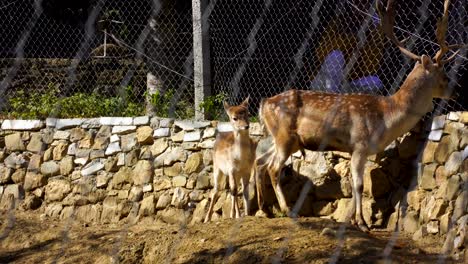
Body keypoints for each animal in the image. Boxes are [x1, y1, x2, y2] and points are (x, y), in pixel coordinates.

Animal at [256, 0, 464, 231]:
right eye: (444, 76)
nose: (457, 91)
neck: (387, 116)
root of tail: (264, 104)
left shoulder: (358, 150)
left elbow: (358, 186)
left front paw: (355, 220)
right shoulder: (360, 144)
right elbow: (359, 185)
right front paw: (363, 223)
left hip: (284, 139)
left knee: (260, 163)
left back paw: (265, 210)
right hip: (284, 136)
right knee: (273, 168)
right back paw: (287, 210)